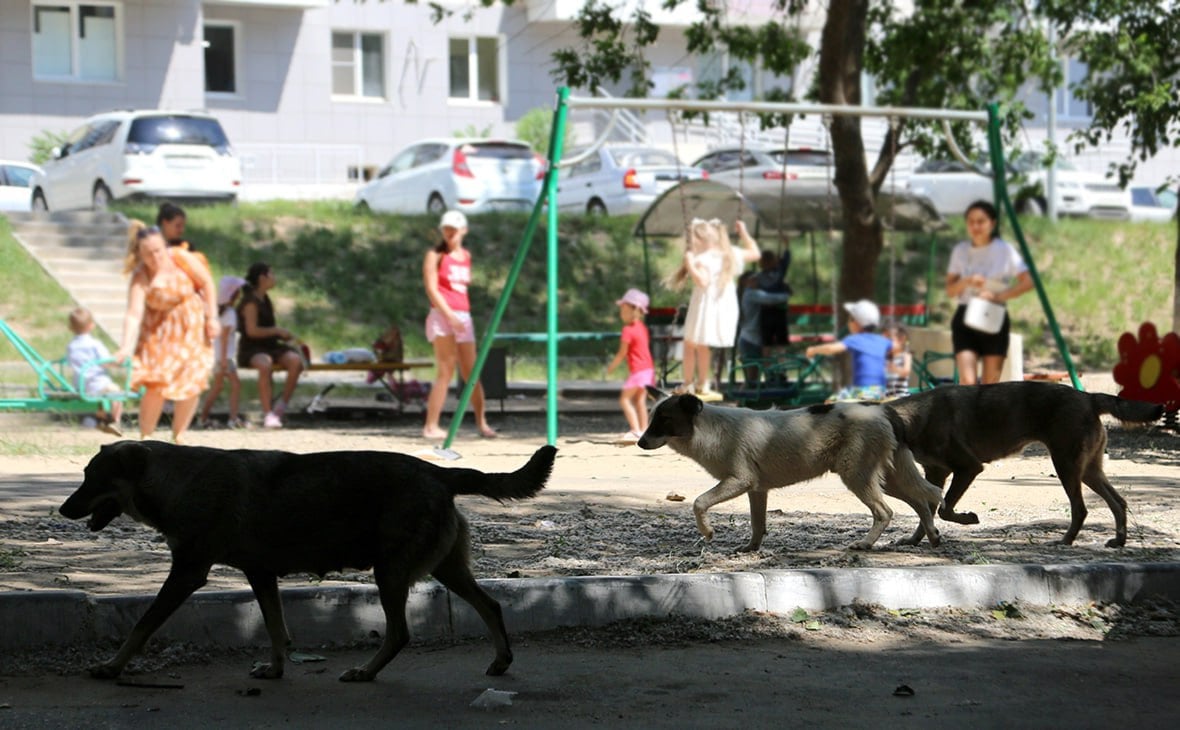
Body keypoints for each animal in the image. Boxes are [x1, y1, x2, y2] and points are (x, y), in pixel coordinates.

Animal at [54, 443, 552, 684]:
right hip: (444, 569)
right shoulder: (261, 575)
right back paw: (501, 661)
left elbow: (141, 626)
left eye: (90, 477)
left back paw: (366, 673)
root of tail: (439, 471)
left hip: (390, 574)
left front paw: (112, 667)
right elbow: (277, 630)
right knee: (492, 606)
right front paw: (276, 670)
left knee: (400, 633)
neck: (179, 479)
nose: (62, 509)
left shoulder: (187, 574)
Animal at [887, 382, 1161, 547]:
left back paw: (1065, 541)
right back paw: (1119, 541)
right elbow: (927, 514)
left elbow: (944, 511)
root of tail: (1088, 397)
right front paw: (915, 540)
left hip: (1066, 466)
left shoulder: (968, 468)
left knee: (1080, 509)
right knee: (1119, 502)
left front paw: (968, 519)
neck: (915, 418)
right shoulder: (936, 474)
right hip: (1088, 471)